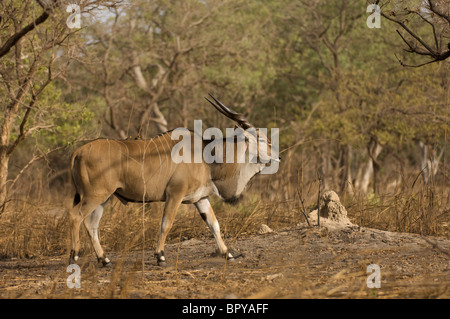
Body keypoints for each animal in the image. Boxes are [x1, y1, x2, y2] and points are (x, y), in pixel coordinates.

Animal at [67, 95, 278, 268]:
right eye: (261, 139)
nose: (277, 156)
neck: (206, 157)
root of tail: (78, 152)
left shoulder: (200, 199)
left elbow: (214, 224)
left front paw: (229, 253)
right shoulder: (174, 195)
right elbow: (166, 224)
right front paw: (160, 256)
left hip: (104, 198)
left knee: (91, 224)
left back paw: (105, 260)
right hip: (95, 195)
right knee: (76, 216)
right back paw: (74, 256)